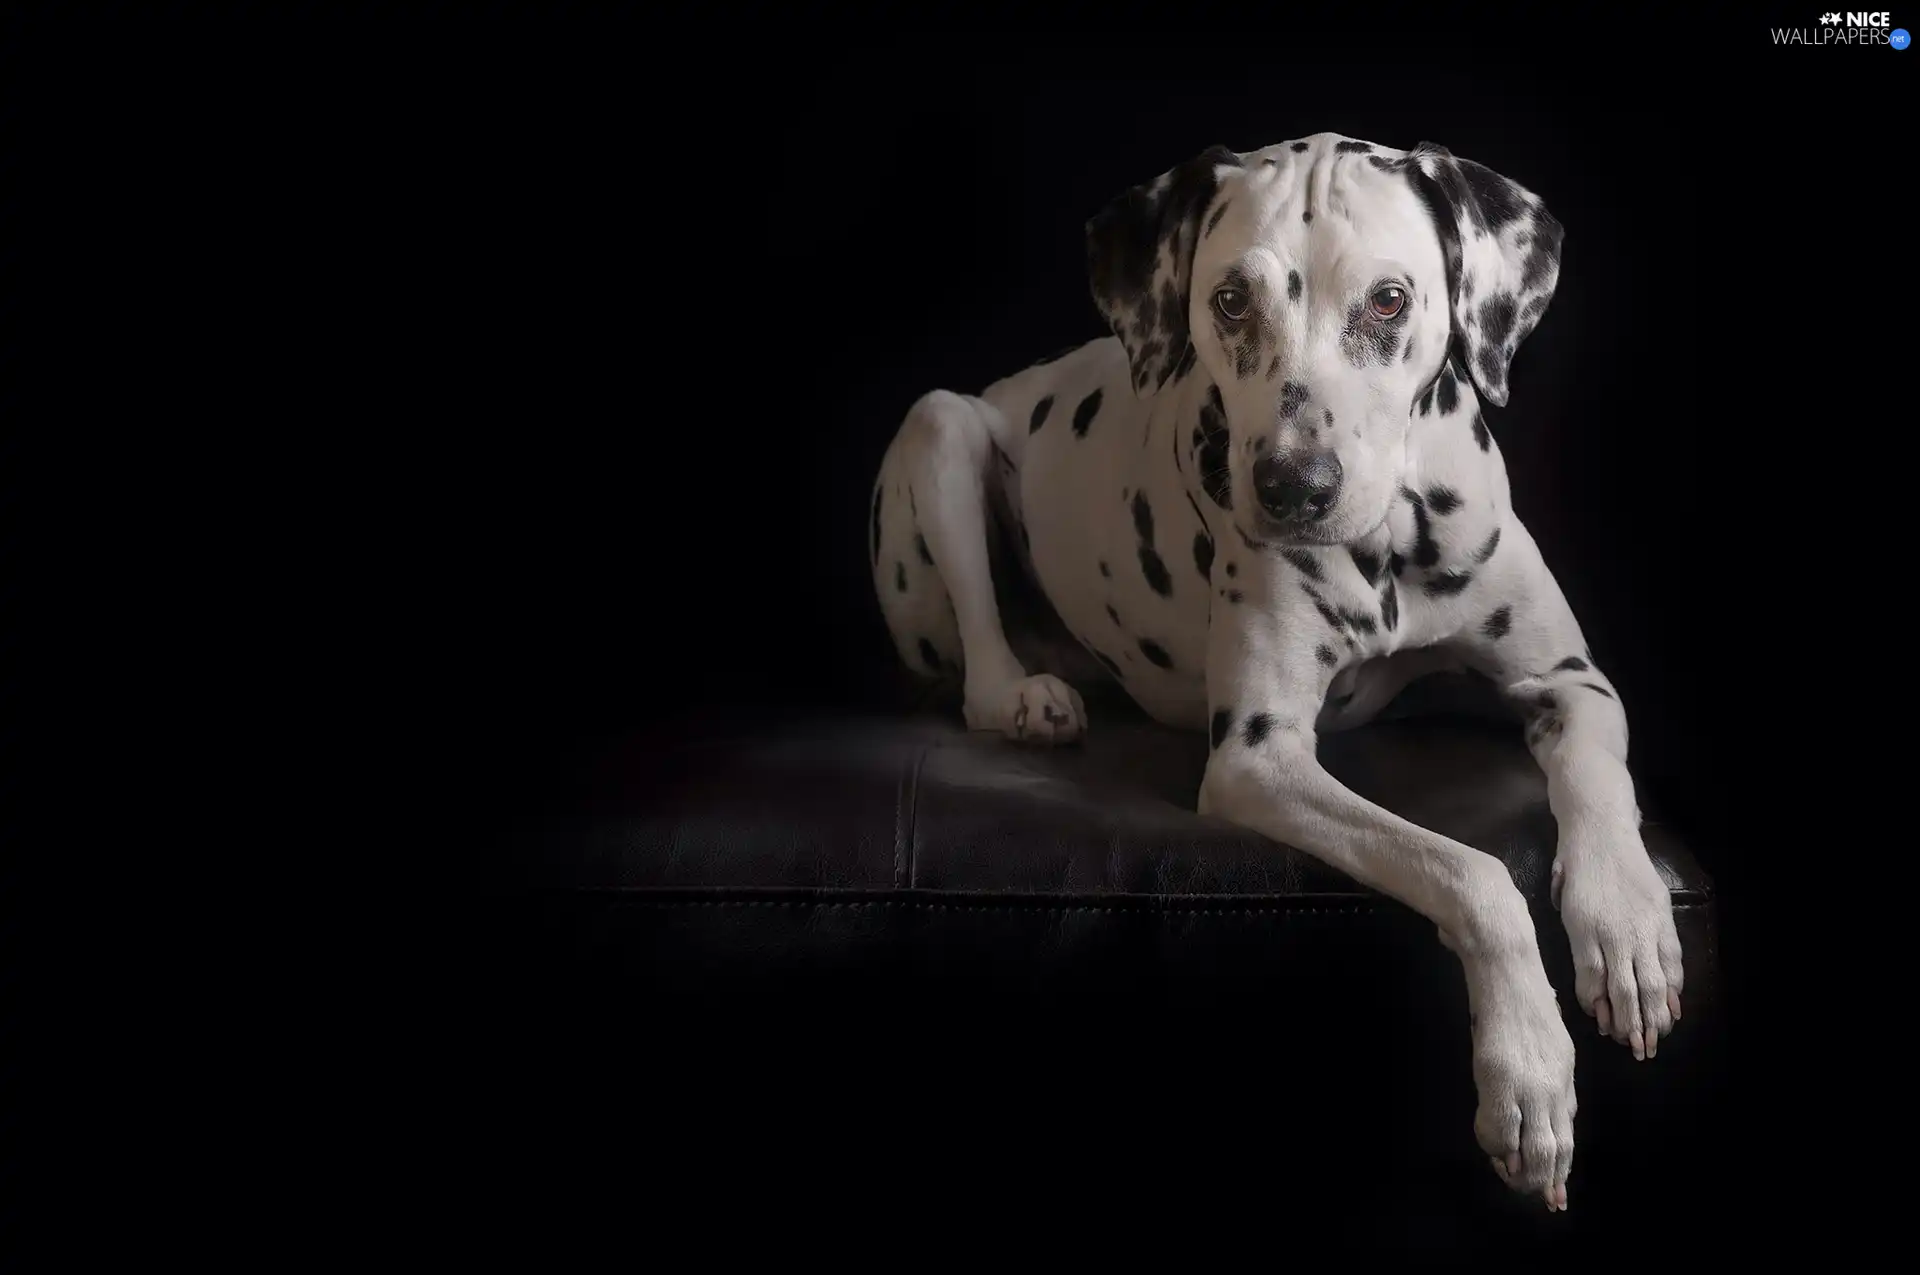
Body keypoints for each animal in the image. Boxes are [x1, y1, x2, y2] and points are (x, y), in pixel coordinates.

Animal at [867, 134, 1681, 1213]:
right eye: (1229, 300)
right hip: (941, 429)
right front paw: (1528, 1069)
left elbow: (1594, 782)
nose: (1294, 487)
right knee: (974, 669)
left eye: (1389, 300)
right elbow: (1469, 869)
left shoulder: (1571, 680)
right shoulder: (1262, 762)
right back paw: (1029, 696)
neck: (1393, 538)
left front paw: (1628, 928)